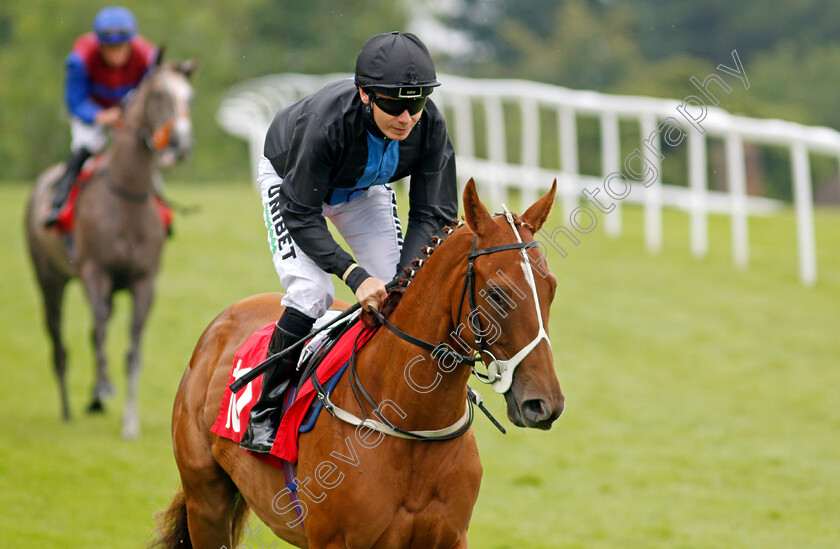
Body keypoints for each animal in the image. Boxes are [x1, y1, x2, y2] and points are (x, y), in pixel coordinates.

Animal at [24, 54, 195, 436]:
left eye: (189, 96)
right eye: (159, 95)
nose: (180, 144)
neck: (127, 194)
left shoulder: (143, 281)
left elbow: (132, 349)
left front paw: (130, 421)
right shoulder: (95, 272)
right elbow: (101, 329)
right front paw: (104, 385)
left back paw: (93, 403)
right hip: (49, 279)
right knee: (59, 340)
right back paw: (69, 408)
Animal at [158, 179, 564, 544]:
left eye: (552, 287)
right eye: (496, 293)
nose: (544, 404)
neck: (412, 424)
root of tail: (221, 323)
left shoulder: (450, 537)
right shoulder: (335, 541)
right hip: (205, 501)